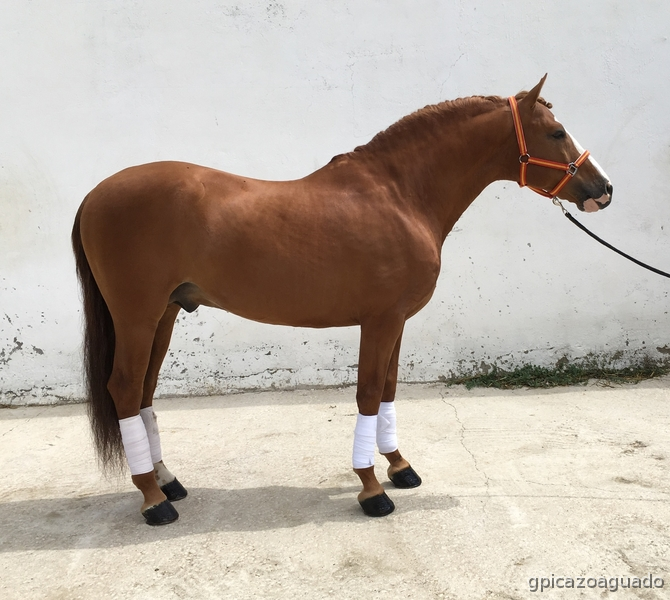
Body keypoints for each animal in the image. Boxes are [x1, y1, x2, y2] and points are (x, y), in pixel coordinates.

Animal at [71, 75, 612, 525]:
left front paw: (400, 467)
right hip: (137, 315)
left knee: (144, 392)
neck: (400, 195)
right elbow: (369, 393)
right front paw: (372, 489)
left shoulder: (397, 321)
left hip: (164, 314)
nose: (604, 189)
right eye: (557, 132)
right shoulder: (379, 320)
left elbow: (389, 390)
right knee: (124, 388)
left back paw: (167, 481)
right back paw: (153, 501)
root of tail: (94, 196)